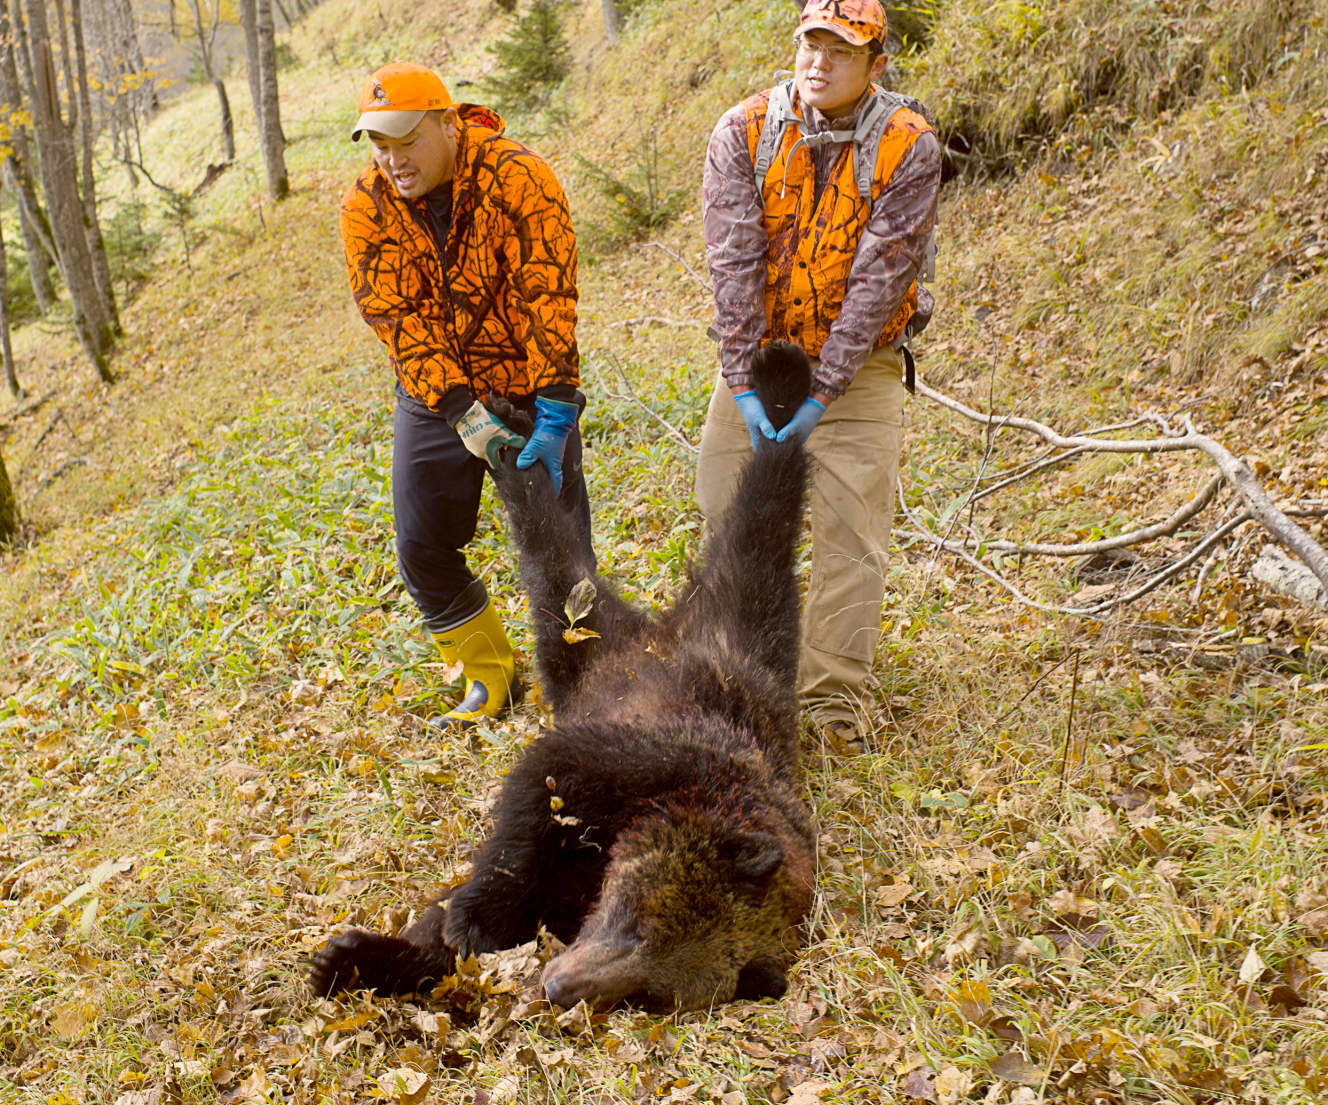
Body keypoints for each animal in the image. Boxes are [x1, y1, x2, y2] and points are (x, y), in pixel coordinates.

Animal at [308, 340, 818, 1004]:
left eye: (651, 994)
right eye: (637, 921)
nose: (559, 985)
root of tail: (667, 628)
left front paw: (380, 956)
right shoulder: (641, 755)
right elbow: (534, 801)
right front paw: (463, 922)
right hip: (656, 628)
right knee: (740, 521)